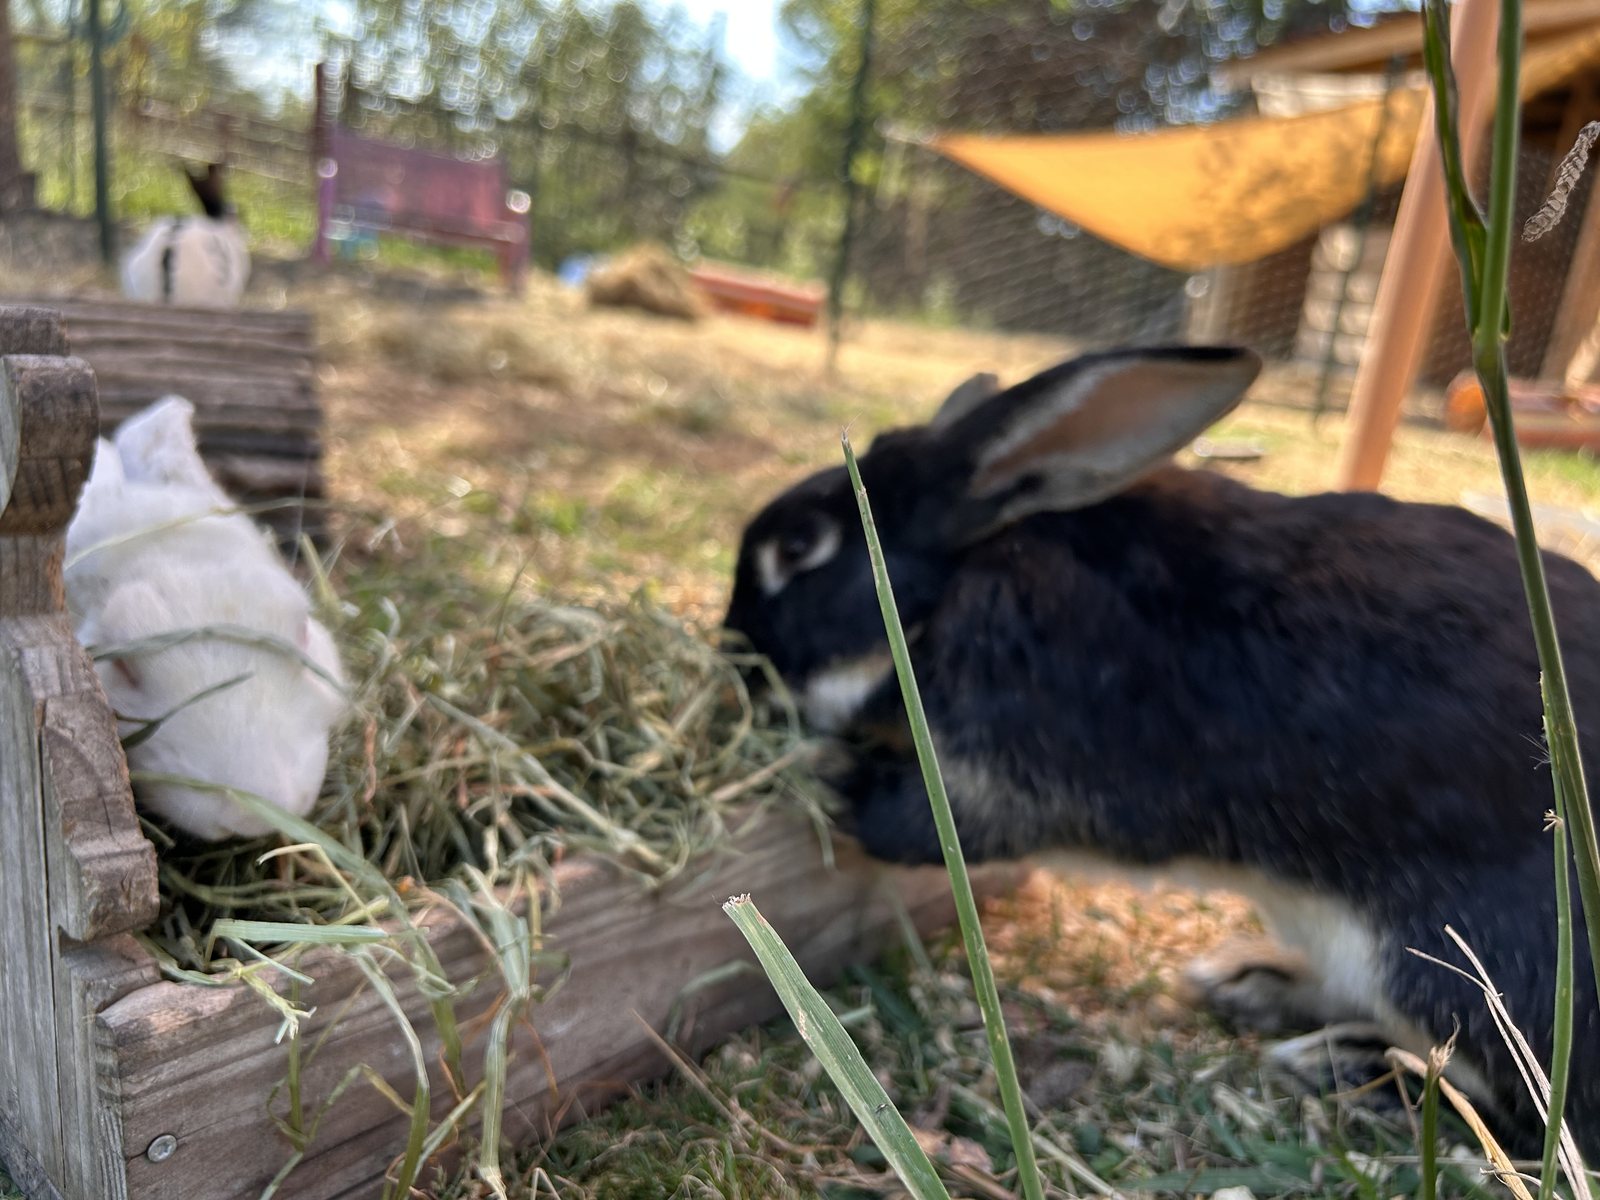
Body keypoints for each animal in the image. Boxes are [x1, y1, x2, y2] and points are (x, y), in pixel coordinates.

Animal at [722, 344, 1600, 1159]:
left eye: (799, 547)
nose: (735, 661)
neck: (962, 580)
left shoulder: (1023, 761)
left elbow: (929, 821)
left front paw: (829, 774)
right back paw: (1250, 982)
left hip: (1459, 966)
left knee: (1529, 1112)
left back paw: (1356, 1070)